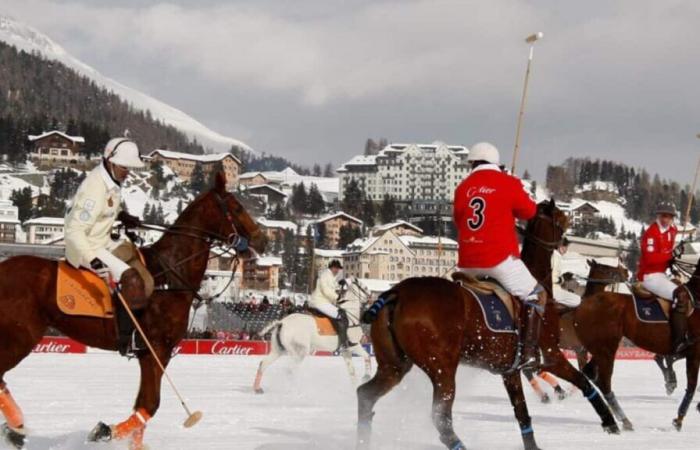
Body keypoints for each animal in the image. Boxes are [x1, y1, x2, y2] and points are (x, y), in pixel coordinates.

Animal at [0, 171, 266, 448]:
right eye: (237, 207)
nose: (263, 240)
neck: (170, 275)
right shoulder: (156, 348)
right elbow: (150, 404)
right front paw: (104, 431)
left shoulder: (152, 352)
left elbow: (144, 404)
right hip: (22, 336)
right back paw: (17, 427)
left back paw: (15, 429)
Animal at [358, 200, 616, 450]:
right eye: (561, 219)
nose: (566, 242)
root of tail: (396, 293)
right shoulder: (551, 355)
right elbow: (583, 381)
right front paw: (610, 422)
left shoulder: (509, 371)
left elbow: (522, 413)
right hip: (442, 368)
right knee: (441, 418)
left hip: (394, 365)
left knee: (365, 395)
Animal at [576, 256, 700, 432]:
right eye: (606, 269)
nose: (624, 271)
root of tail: (581, 306)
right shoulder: (694, 352)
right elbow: (691, 385)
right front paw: (679, 420)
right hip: (607, 349)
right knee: (604, 381)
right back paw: (624, 420)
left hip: (600, 349)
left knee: (590, 371)